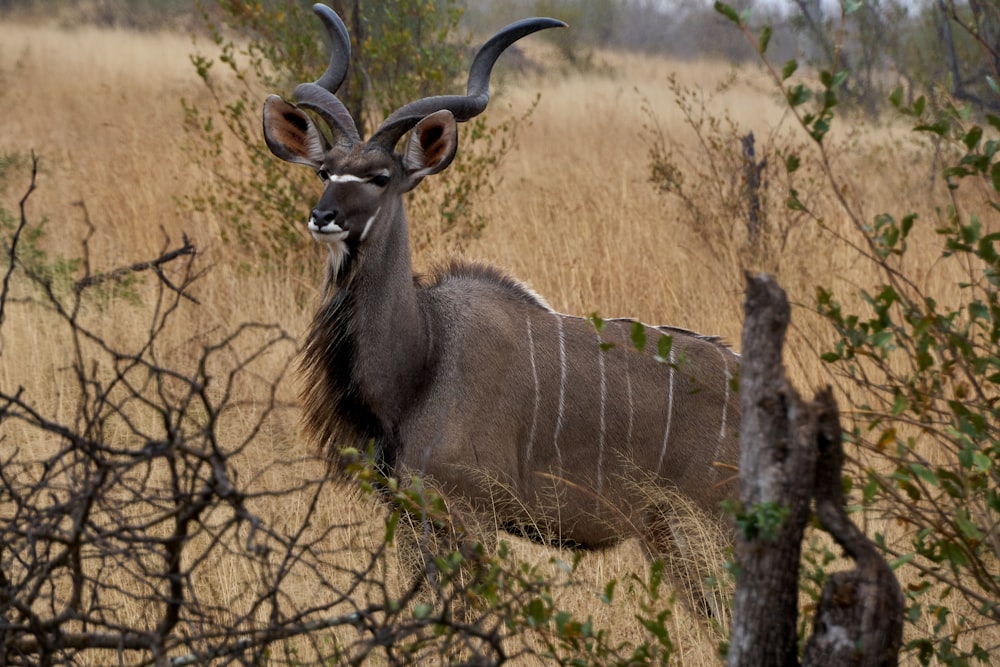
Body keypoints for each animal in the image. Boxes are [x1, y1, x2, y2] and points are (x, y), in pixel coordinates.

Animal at [266, 1, 744, 616]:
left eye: (380, 177)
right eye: (325, 171)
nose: (323, 216)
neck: (425, 354)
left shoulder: (471, 515)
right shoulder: (412, 516)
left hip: (708, 530)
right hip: (668, 535)